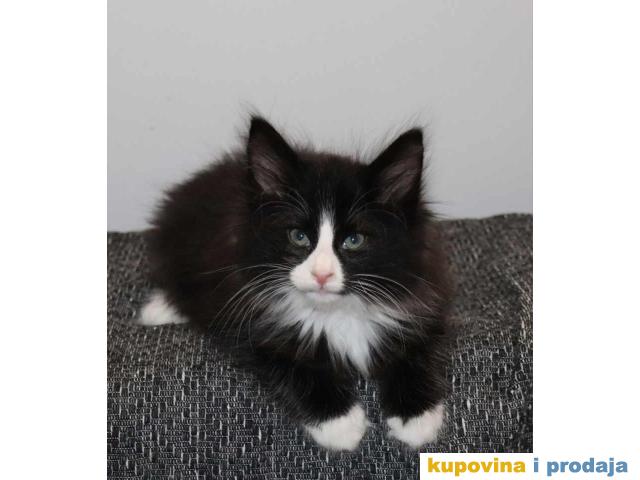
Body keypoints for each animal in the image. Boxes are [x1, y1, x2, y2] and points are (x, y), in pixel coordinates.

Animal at [138, 117, 452, 450]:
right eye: (298, 236)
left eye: (354, 240)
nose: (322, 274)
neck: (337, 313)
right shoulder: (245, 318)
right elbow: (293, 363)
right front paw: (340, 423)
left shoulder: (425, 299)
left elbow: (417, 353)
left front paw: (417, 417)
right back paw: (158, 309)